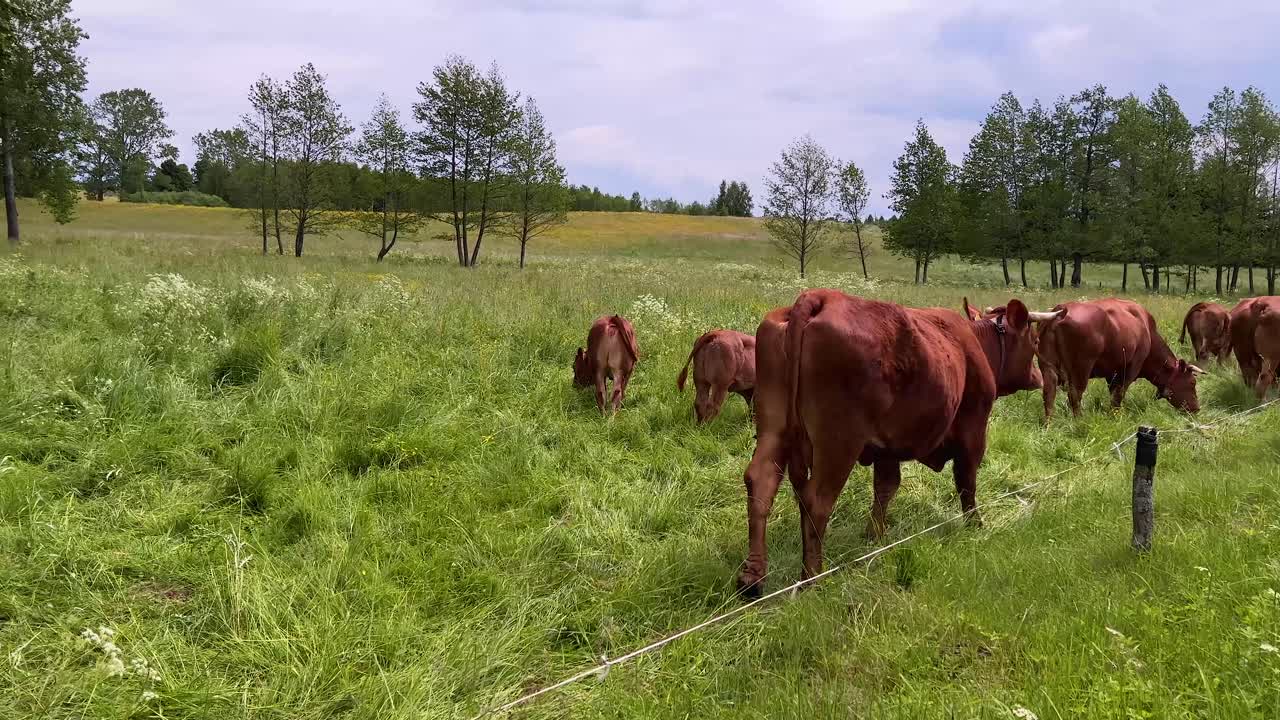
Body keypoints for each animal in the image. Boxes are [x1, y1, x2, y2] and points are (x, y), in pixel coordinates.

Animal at [737, 290, 1062, 597]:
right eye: (1034, 340)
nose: (1037, 376)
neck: (973, 345)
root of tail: (821, 296)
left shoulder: (886, 447)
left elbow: (886, 487)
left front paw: (875, 536)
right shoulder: (973, 428)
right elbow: (966, 481)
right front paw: (975, 524)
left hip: (774, 427)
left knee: (761, 482)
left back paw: (752, 578)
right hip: (838, 441)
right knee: (816, 500)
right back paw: (811, 579)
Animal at [1026, 298, 1203, 420]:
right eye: (1192, 383)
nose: (1196, 408)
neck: (1147, 330)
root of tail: (1062, 310)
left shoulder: (1112, 373)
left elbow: (1112, 394)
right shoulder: (1131, 369)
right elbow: (1118, 396)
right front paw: (1115, 417)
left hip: (1048, 367)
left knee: (1049, 394)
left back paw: (1049, 424)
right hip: (1081, 368)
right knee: (1075, 395)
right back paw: (1079, 421)